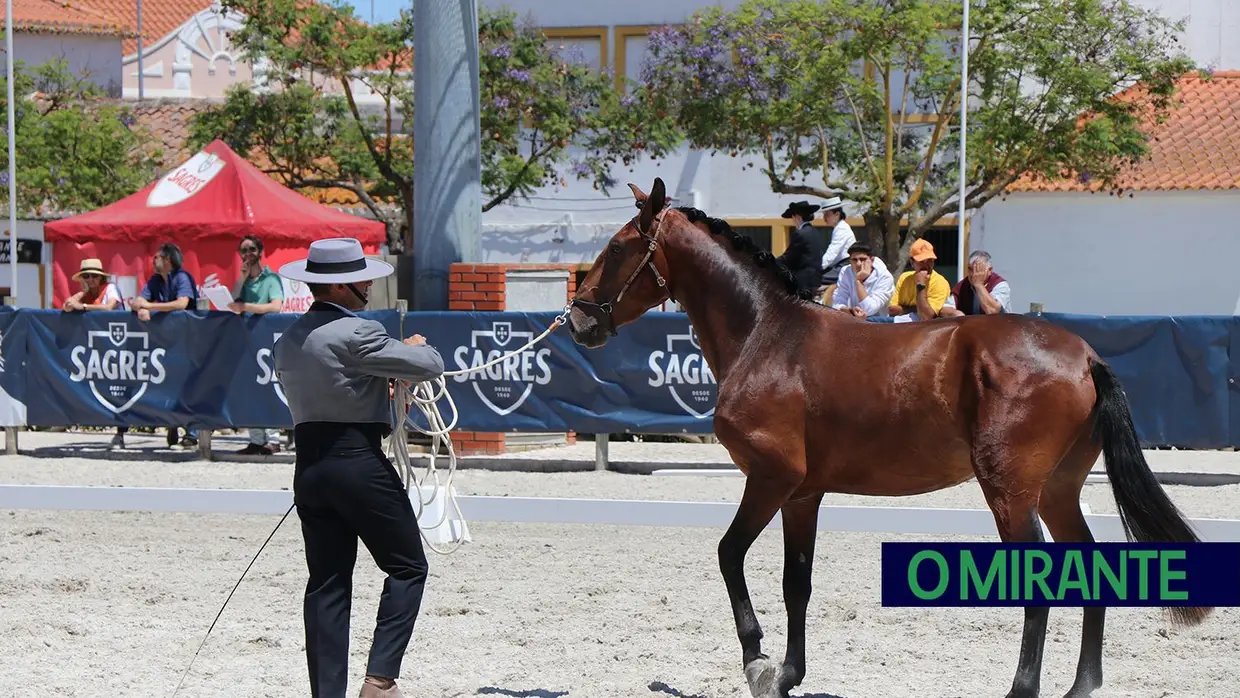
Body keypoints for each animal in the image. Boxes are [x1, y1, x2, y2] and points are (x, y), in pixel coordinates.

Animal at [567, 178, 1210, 698]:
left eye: (618, 247)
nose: (578, 320)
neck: (767, 335)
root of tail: (1085, 354)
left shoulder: (771, 478)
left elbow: (729, 554)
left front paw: (756, 662)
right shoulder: (803, 494)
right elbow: (796, 580)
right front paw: (789, 673)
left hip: (1011, 492)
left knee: (1039, 582)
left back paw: (1023, 688)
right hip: (1056, 489)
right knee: (1086, 564)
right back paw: (1082, 685)